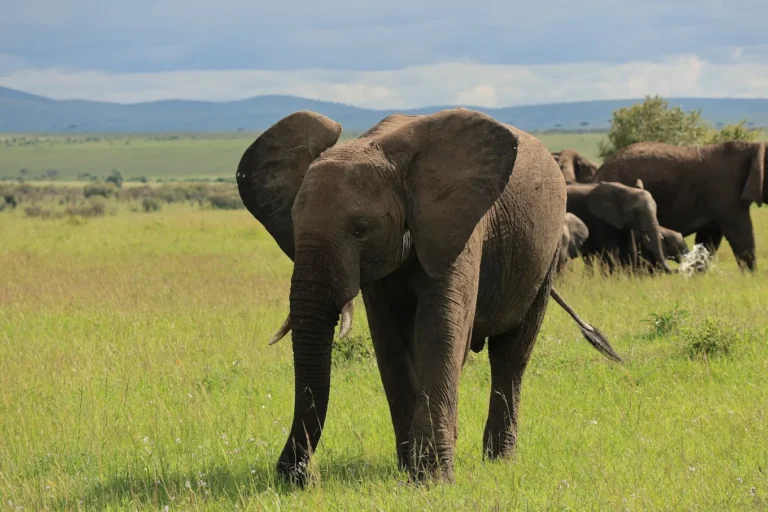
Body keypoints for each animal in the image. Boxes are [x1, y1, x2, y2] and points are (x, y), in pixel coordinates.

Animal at [236, 109, 622, 487]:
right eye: (294, 225)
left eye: (360, 229)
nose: (296, 476)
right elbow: (389, 342)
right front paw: (410, 470)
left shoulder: (458, 225)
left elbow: (440, 330)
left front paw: (431, 480)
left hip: (545, 255)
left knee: (511, 356)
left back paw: (500, 461)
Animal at [594, 140, 767, 271]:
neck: (751, 146)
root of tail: (599, 172)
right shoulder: (726, 191)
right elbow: (740, 234)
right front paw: (751, 278)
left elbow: (708, 238)